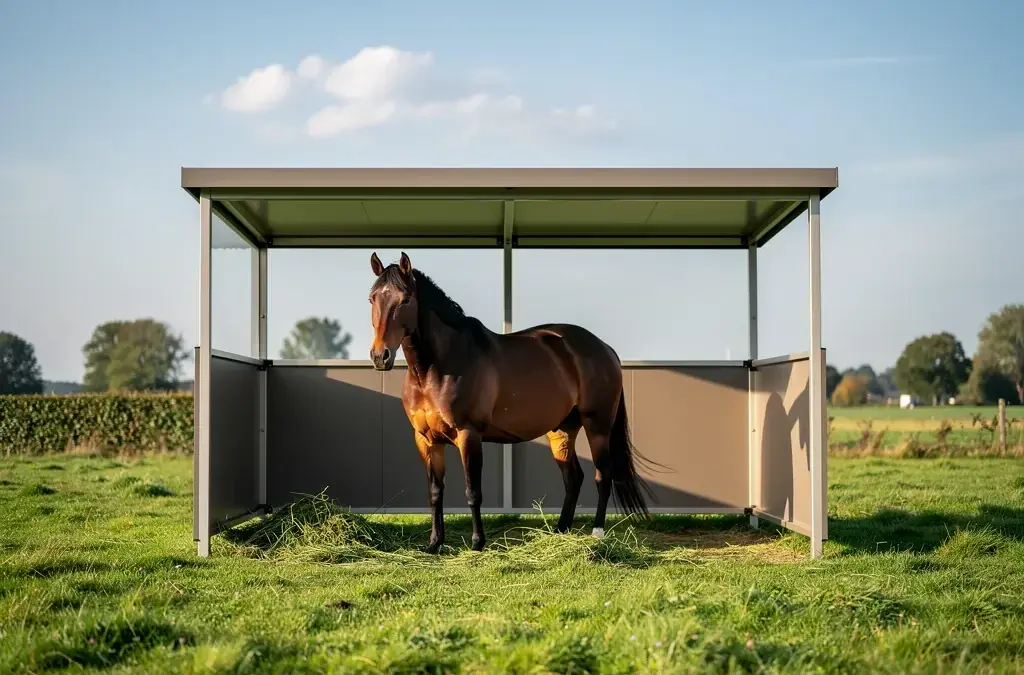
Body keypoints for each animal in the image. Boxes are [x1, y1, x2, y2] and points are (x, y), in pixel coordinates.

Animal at [367, 251, 655, 553]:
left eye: (405, 299)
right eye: (372, 299)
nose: (380, 356)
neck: (434, 369)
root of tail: (604, 348)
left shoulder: (468, 435)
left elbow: (473, 491)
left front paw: (477, 543)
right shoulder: (425, 439)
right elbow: (435, 492)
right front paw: (434, 544)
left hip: (597, 425)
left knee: (603, 475)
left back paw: (596, 533)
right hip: (562, 430)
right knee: (574, 478)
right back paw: (560, 531)